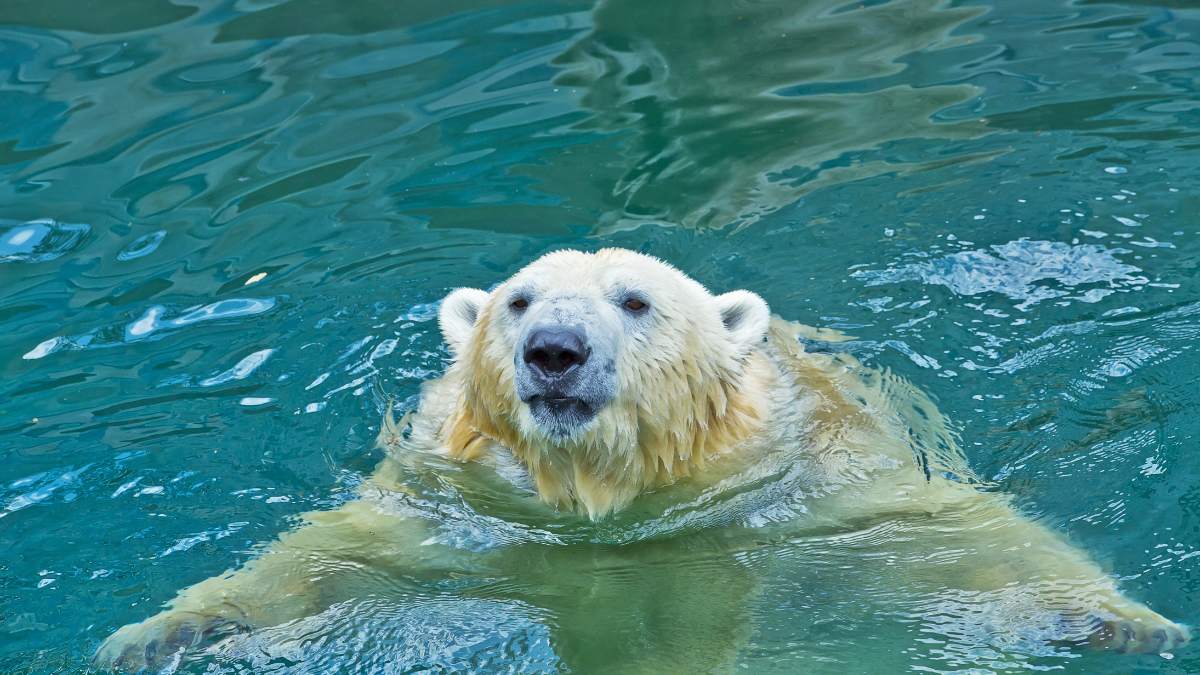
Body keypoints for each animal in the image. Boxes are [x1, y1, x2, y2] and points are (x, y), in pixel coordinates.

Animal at [96, 248, 1188, 671]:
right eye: (519, 301)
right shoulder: (462, 504)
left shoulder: (805, 488)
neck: (612, 502)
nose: (554, 351)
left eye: (635, 300)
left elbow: (948, 532)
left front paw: (1127, 622)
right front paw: (156, 634)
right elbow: (332, 555)